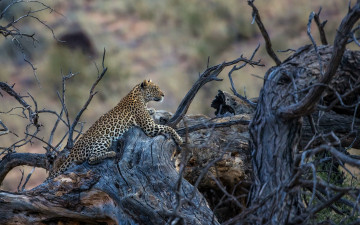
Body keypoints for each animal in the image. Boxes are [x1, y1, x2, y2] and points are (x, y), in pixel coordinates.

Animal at [48, 80, 183, 178]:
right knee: (91, 159)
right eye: (155, 89)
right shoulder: (149, 127)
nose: (163, 95)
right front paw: (179, 139)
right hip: (103, 140)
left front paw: (151, 110)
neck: (140, 96)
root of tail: (72, 152)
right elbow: (168, 128)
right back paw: (111, 153)